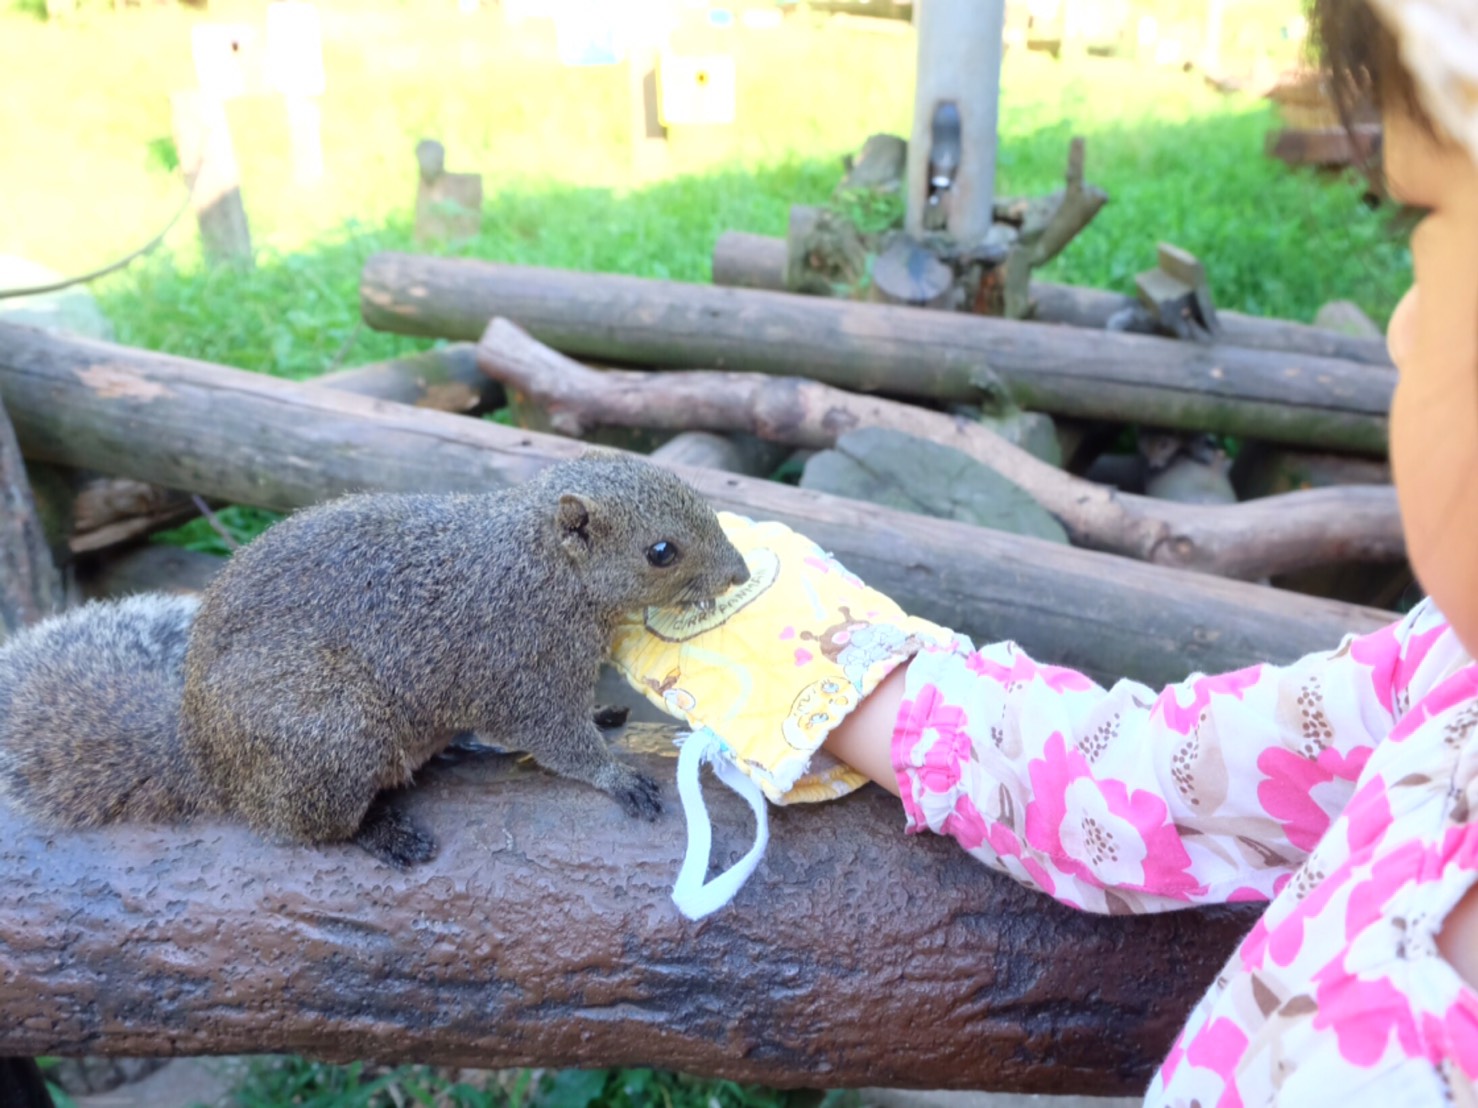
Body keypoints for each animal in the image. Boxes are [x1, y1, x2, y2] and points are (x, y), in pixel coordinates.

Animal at [0, 455, 744, 874]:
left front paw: (604, 713)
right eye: (660, 551)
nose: (738, 573)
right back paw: (381, 834)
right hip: (331, 729)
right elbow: (555, 739)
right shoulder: (517, 665)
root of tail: (202, 757)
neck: (541, 566)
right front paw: (613, 776)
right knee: (305, 827)